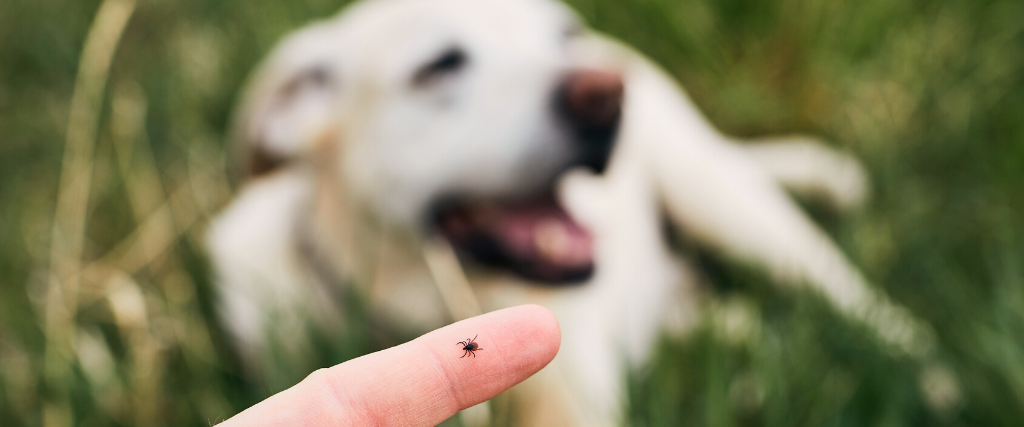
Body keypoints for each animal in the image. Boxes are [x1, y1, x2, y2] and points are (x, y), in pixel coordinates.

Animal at [207, 0, 937, 423]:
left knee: (859, 303)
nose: (605, 94)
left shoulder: (572, 396)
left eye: (562, 35)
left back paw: (933, 376)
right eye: (439, 65)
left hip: (724, 200)